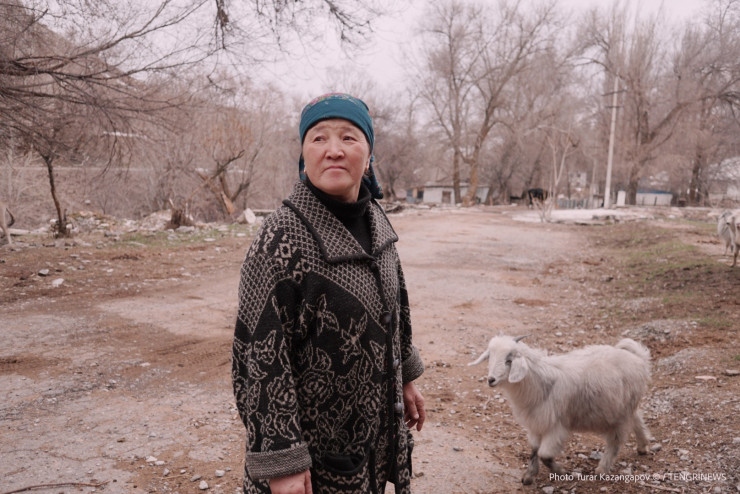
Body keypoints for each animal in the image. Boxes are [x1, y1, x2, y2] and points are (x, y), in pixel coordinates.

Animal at [469, 335, 652, 485]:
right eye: (490, 357)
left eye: (509, 360)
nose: (491, 380)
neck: (540, 383)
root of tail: (638, 358)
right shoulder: (536, 424)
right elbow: (534, 449)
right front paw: (529, 476)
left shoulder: (555, 426)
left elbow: (544, 455)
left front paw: (561, 471)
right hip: (623, 408)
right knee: (637, 418)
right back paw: (643, 447)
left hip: (621, 413)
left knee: (615, 441)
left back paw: (602, 469)